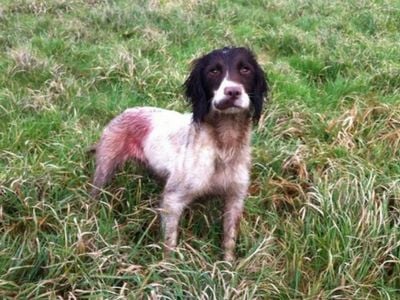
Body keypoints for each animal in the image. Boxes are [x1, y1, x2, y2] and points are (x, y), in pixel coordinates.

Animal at [90, 47, 268, 260]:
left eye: (245, 69)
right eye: (213, 71)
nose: (233, 91)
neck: (224, 145)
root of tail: (125, 112)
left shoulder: (235, 198)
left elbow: (229, 239)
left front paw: (228, 265)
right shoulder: (173, 200)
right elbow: (170, 243)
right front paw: (168, 266)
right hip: (104, 168)